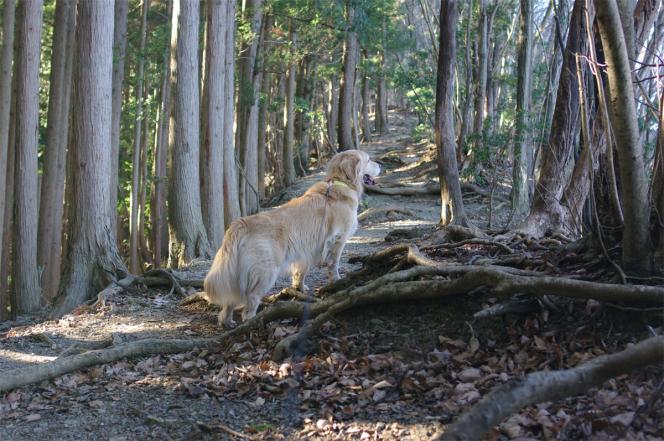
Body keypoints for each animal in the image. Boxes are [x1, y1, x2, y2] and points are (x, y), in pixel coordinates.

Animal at [202, 150, 382, 324]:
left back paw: (227, 322)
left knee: (228, 305)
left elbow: (300, 272)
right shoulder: (338, 239)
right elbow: (333, 264)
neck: (339, 183)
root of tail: (240, 224)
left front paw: (299, 289)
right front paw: (337, 282)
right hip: (265, 271)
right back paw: (252, 321)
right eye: (368, 160)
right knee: (251, 300)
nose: (380, 164)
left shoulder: (306, 250)